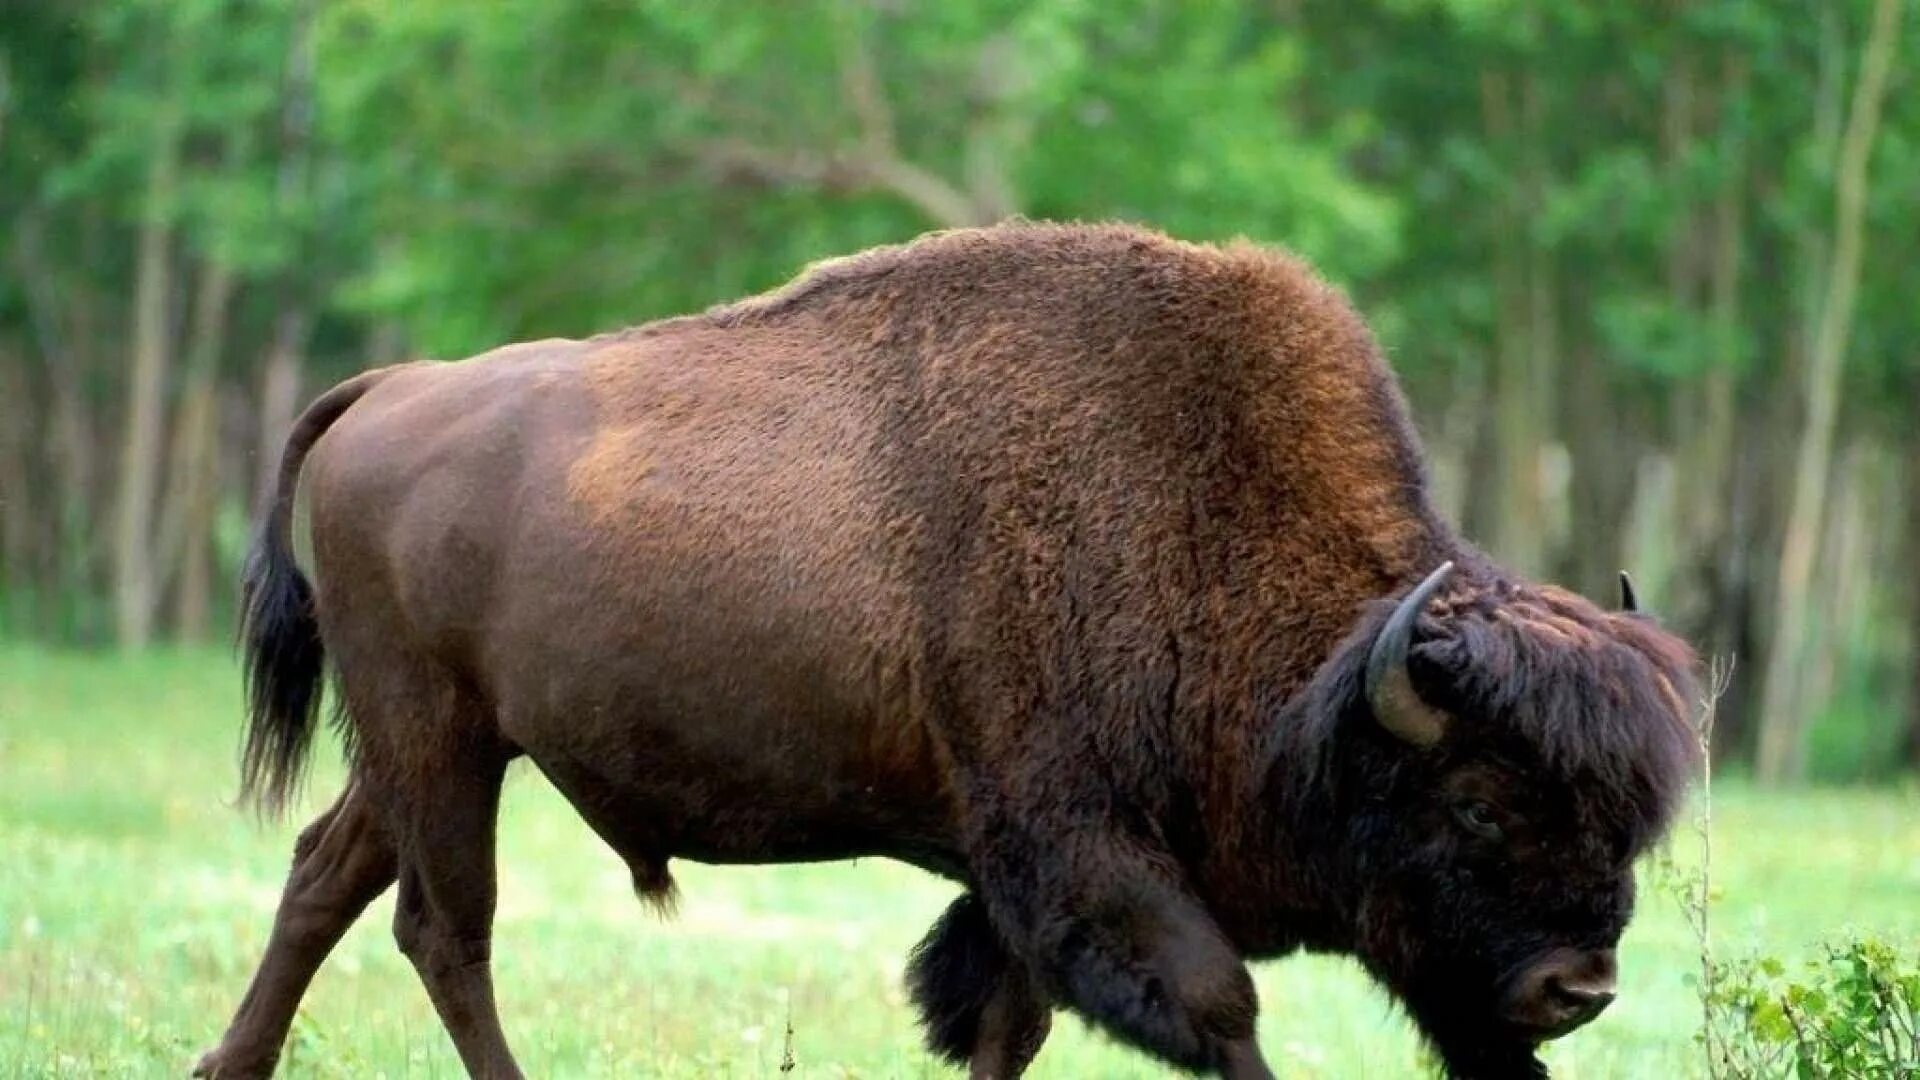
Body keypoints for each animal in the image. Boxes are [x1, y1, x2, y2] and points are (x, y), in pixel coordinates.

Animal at [194, 220, 1697, 1076]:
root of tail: (393, 386)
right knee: (445, 930)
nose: (1578, 987)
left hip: (429, 747)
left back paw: (227, 1066)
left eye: (1628, 818)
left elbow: (1004, 1022)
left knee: (325, 877)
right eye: (1479, 804)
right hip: (436, 737)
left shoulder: (1015, 874)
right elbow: (1215, 1008)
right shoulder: (1077, 844)